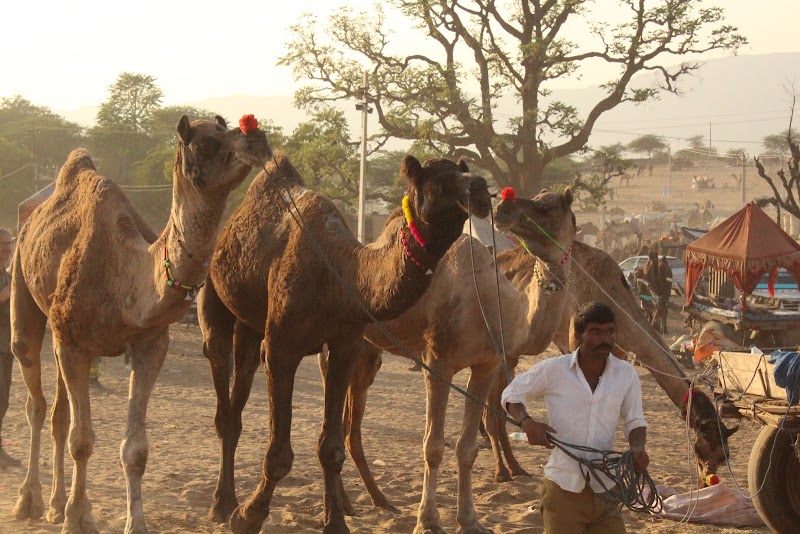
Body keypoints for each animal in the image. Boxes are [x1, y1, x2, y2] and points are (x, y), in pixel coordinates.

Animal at [10, 115, 270, 534]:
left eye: (229, 127)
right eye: (206, 143)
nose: (256, 137)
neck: (127, 274)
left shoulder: (150, 343)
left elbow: (136, 450)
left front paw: (130, 522)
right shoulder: (73, 343)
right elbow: (82, 440)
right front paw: (76, 519)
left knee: (58, 413)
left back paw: (55, 503)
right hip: (23, 278)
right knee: (35, 396)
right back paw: (29, 501)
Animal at [198, 154, 491, 533]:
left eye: (463, 171)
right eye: (440, 182)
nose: (482, 189)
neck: (340, 276)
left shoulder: (345, 346)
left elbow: (331, 447)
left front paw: (335, 520)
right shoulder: (281, 347)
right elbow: (279, 453)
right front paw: (248, 516)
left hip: (251, 324)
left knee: (242, 377)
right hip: (213, 290)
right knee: (221, 376)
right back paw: (222, 505)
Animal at [323, 188, 575, 532]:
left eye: (546, 207)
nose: (505, 207)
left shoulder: (486, 365)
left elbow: (466, 447)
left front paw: (469, 520)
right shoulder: (438, 362)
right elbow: (433, 446)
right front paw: (427, 521)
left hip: (365, 353)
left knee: (350, 425)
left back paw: (375, 502)